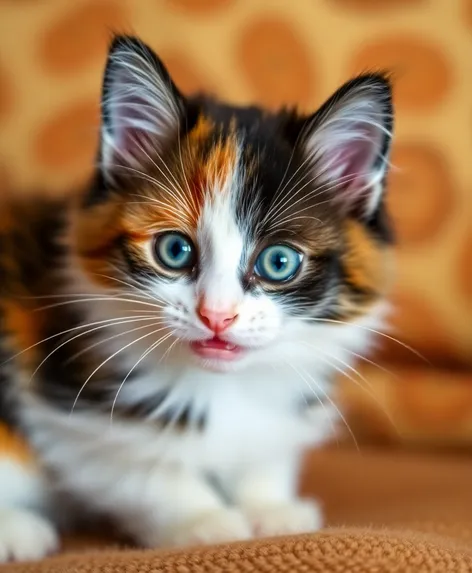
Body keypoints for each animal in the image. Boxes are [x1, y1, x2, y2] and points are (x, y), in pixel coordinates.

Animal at [0, 34, 394, 560]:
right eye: (174, 250)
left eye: (278, 262)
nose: (217, 316)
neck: (225, 385)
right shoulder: (67, 408)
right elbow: (139, 464)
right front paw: (205, 521)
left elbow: (267, 447)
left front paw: (270, 507)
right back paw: (18, 530)